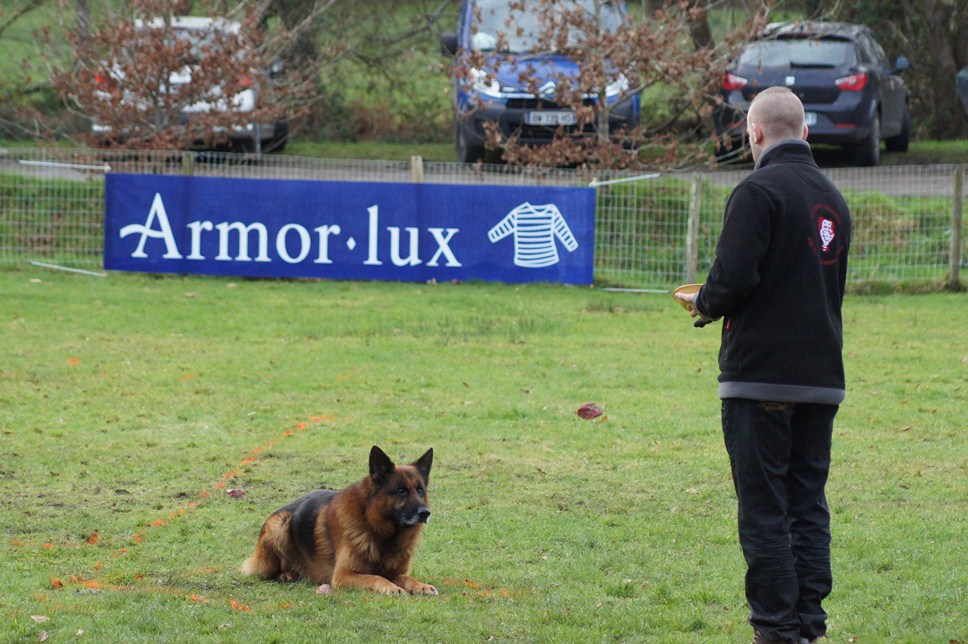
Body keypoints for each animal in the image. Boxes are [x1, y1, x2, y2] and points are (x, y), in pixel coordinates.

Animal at [242, 446, 438, 596]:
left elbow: (408, 578)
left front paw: (421, 585)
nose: (425, 513)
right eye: (401, 490)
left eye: (420, 490)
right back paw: (286, 575)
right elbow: (376, 577)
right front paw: (391, 588)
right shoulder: (343, 576)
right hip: (280, 525)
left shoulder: (396, 573)